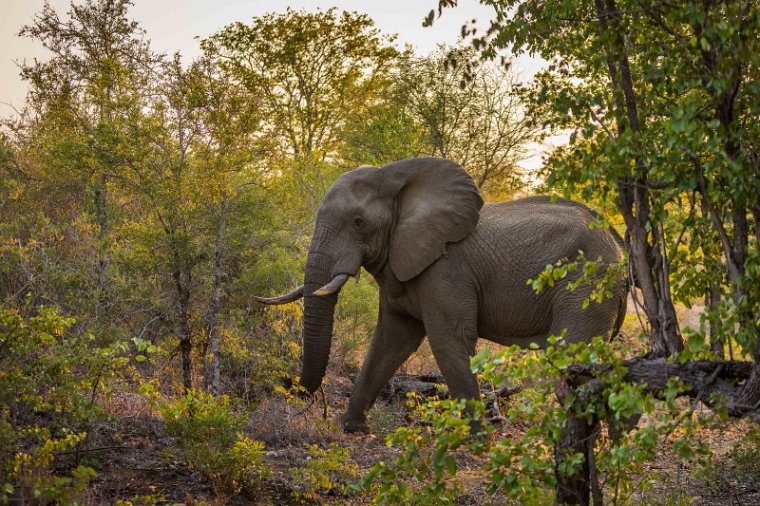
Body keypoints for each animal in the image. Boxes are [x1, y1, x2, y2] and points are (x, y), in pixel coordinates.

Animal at [252, 156, 628, 432]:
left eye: (358, 223)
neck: (395, 177)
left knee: (573, 360)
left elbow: (449, 341)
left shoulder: (446, 271)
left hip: (587, 286)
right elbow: (391, 341)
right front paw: (352, 428)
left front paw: (477, 441)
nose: (289, 388)